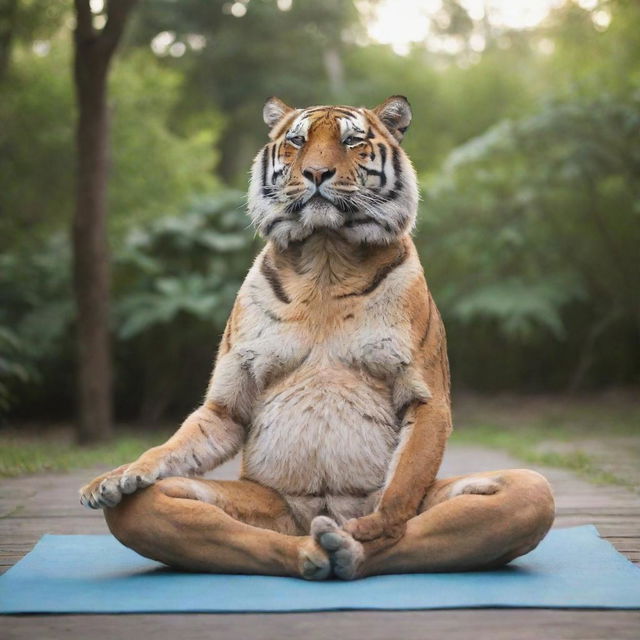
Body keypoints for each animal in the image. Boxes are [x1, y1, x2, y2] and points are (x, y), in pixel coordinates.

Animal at [80, 95, 552, 580]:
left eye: (351, 142)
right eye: (297, 141)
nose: (317, 173)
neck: (326, 253)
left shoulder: (426, 397)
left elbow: (402, 484)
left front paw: (377, 525)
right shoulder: (229, 396)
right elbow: (191, 435)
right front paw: (122, 474)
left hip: (526, 487)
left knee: (505, 494)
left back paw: (349, 545)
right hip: (260, 507)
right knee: (197, 518)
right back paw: (313, 552)